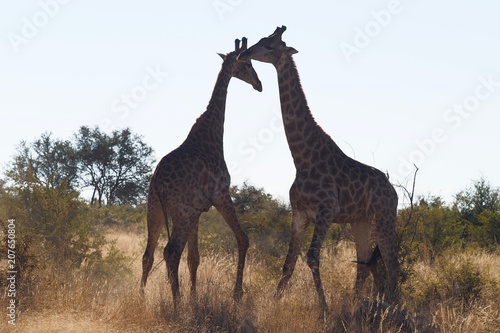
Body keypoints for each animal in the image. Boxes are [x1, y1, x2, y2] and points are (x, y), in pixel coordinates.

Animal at [142, 37, 262, 304]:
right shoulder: (221, 195)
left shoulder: (197, 212)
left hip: (155, 208)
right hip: (180, 211)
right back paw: (176, 303)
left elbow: (194, 258)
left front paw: (195, 298)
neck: (212, 134)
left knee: (149, 254)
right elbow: (243, 238)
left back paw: (141, 297)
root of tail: (158, 182)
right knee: (170, 251)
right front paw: (237, 294)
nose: (259, 85)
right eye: (248, 64)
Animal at [239, 26, 402, 312]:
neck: (301, 159)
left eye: (270, 45)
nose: (244, 54)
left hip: (384, 217)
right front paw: (274, 302)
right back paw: (356, 303)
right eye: (260, 39)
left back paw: (393, 306)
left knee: (391, 262)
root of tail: (393, 191)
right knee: (366, 263)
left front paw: (324, 308)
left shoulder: (326, 211)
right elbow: (288, 262)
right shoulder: (299, 213)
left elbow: (312, 257)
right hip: (360, 221)